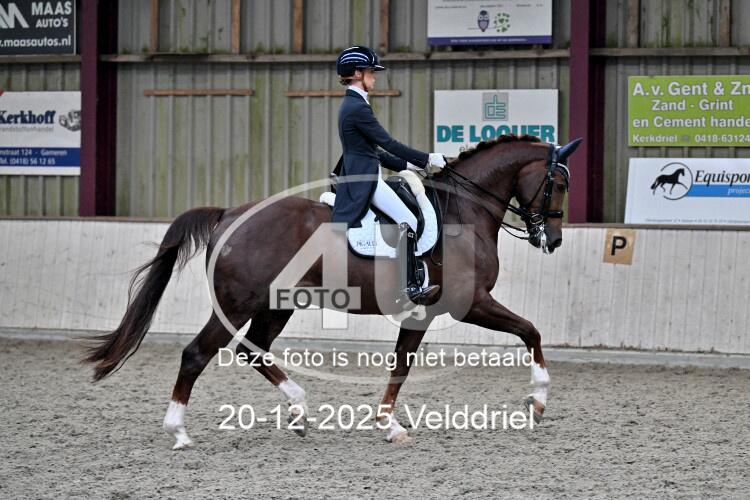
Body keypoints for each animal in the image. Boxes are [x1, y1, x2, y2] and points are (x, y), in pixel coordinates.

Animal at [84, 134, 580, 448]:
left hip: (275, 304)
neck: (463, 211)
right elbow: (530, 331)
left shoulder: (421, 314)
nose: (553, 240)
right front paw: (538, 401)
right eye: (557, 183)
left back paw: (299, 411)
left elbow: (400, 366)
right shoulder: (470, 304)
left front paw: (387, 425)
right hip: (238, 304)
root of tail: (229, 214)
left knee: (253, 349)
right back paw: (180, 433)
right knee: (197, 354)